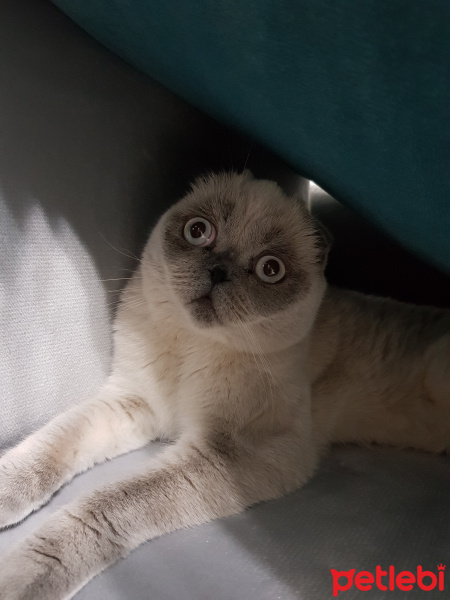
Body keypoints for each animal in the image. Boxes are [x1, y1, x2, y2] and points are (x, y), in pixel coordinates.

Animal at [0, 171, 450, 596]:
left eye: (271, 269)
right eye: (199, 231)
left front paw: (19, 578)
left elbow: (105, 505)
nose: (218, 272)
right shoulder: (135, 401)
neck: (191, 347)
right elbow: (52, 446)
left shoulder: (235, 451)